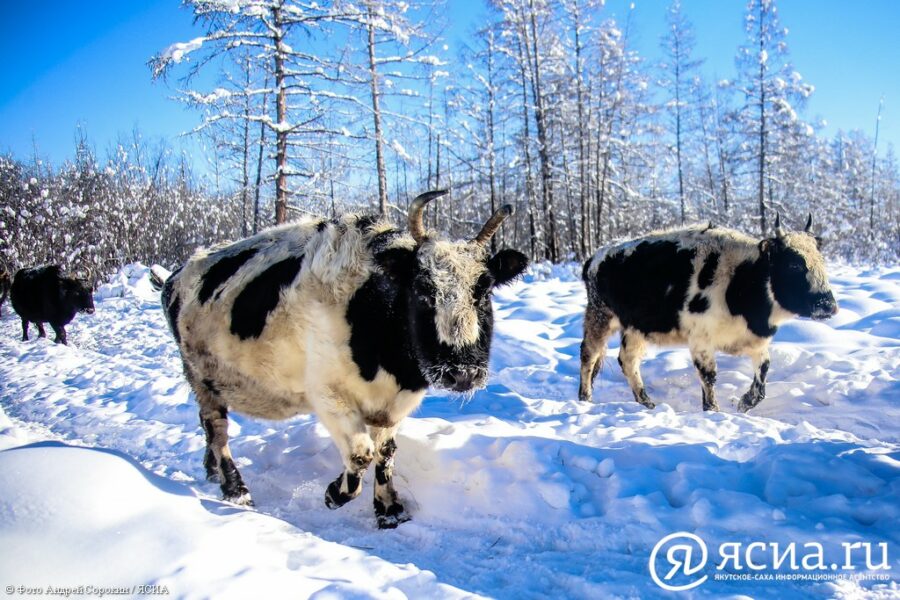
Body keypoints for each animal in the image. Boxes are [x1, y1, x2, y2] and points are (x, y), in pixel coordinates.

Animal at [163, 190, 528, 528]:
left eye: (485, 290)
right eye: (422, 289)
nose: (463, 373)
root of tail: (177, 273)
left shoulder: (394, 404)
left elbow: (385, 454)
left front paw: (389, 510)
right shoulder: (328, 395)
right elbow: (361, 454)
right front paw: (333, 494)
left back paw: (212, 472)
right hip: (200, 374)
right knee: (217, 427)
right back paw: (235, 489)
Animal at [580, 214, 840, 412]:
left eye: (821, 261)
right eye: (794, 264)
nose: (828, 305)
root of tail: (594, 257)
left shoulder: (754, 341)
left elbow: (763, 372)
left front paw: (745, 403)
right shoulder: (701, 339)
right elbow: (709, 376)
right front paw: (712, 410)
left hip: (634, 327)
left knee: (628, 360)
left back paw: (647, 403)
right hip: (600, 316)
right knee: (589, 355)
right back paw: (585, 399)